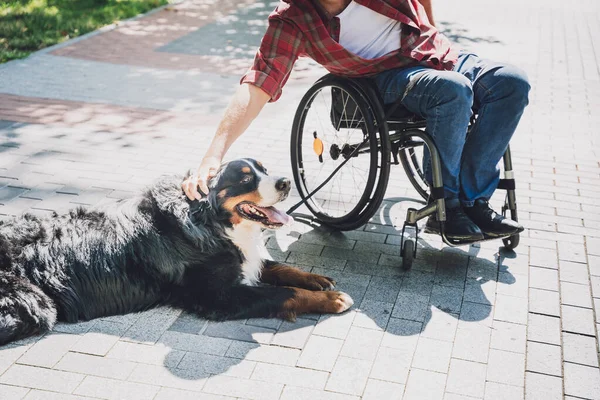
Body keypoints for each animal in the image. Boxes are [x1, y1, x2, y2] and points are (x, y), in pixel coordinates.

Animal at [0, 158, 354, 346]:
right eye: (245, 178)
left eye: (263, 169)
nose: (285, 182)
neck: (207, 220)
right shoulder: (219, 296)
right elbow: (283, 294)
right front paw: (331, 299)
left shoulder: (237, 260)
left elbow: (277, 268)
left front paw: (317, 280)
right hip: (35, 307)